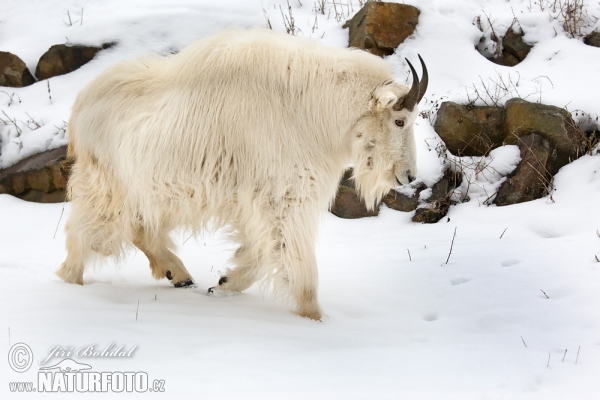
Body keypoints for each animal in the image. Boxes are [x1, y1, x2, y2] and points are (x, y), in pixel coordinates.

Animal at [57, 28, 426, 320]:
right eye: (399, 121)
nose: (408, 176)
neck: (313, 109)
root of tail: (78, 110)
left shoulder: (261, 201)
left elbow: (260, 253)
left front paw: (223, 284)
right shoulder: (282, 197)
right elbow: (293, 259)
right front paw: (314, 318)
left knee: (138, 229)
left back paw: (178, 274)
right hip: (108, 187)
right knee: (84, 233)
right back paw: (70, 285)